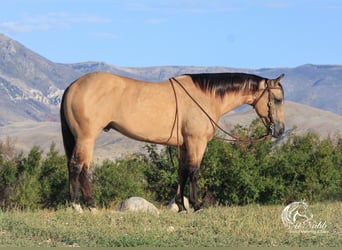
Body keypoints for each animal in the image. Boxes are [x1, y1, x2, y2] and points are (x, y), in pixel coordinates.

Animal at [60, 72, 284, 213]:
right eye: (278, 99)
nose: (280, 130)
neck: (205, 97)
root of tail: (73, 85)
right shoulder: (196, 142)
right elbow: (194, 171)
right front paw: (196, 205)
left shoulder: (184, 145)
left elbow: (182, 172)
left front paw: (182, 206)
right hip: (86, 138)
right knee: (78, 167)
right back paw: (83, 206)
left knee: (80, 168)